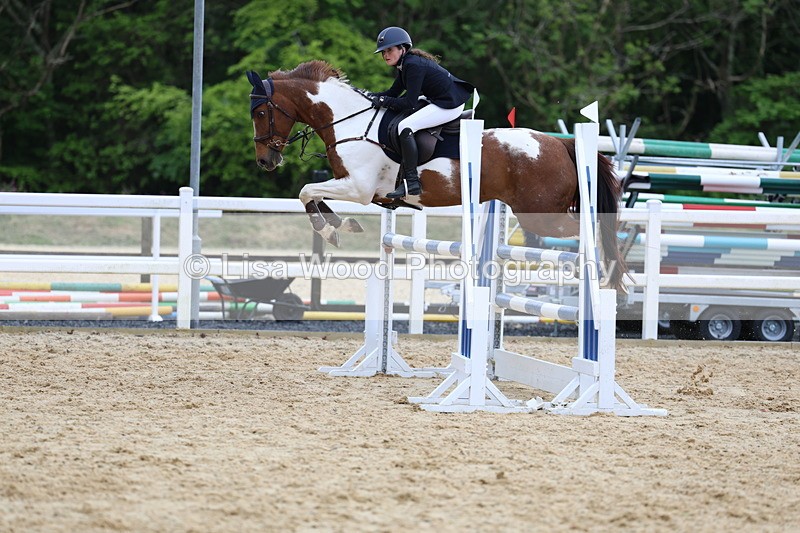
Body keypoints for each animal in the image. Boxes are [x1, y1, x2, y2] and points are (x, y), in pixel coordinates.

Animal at [247, 60, 627, 290]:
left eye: (261, 112)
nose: (266, 161)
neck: (348, 122)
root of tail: (561, 143)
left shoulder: (359, 188)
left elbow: (306, 190)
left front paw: (330, 230)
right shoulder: (351, 186)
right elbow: (312, 194)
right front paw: (341, 225)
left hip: (541, 215)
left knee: (588, 229)